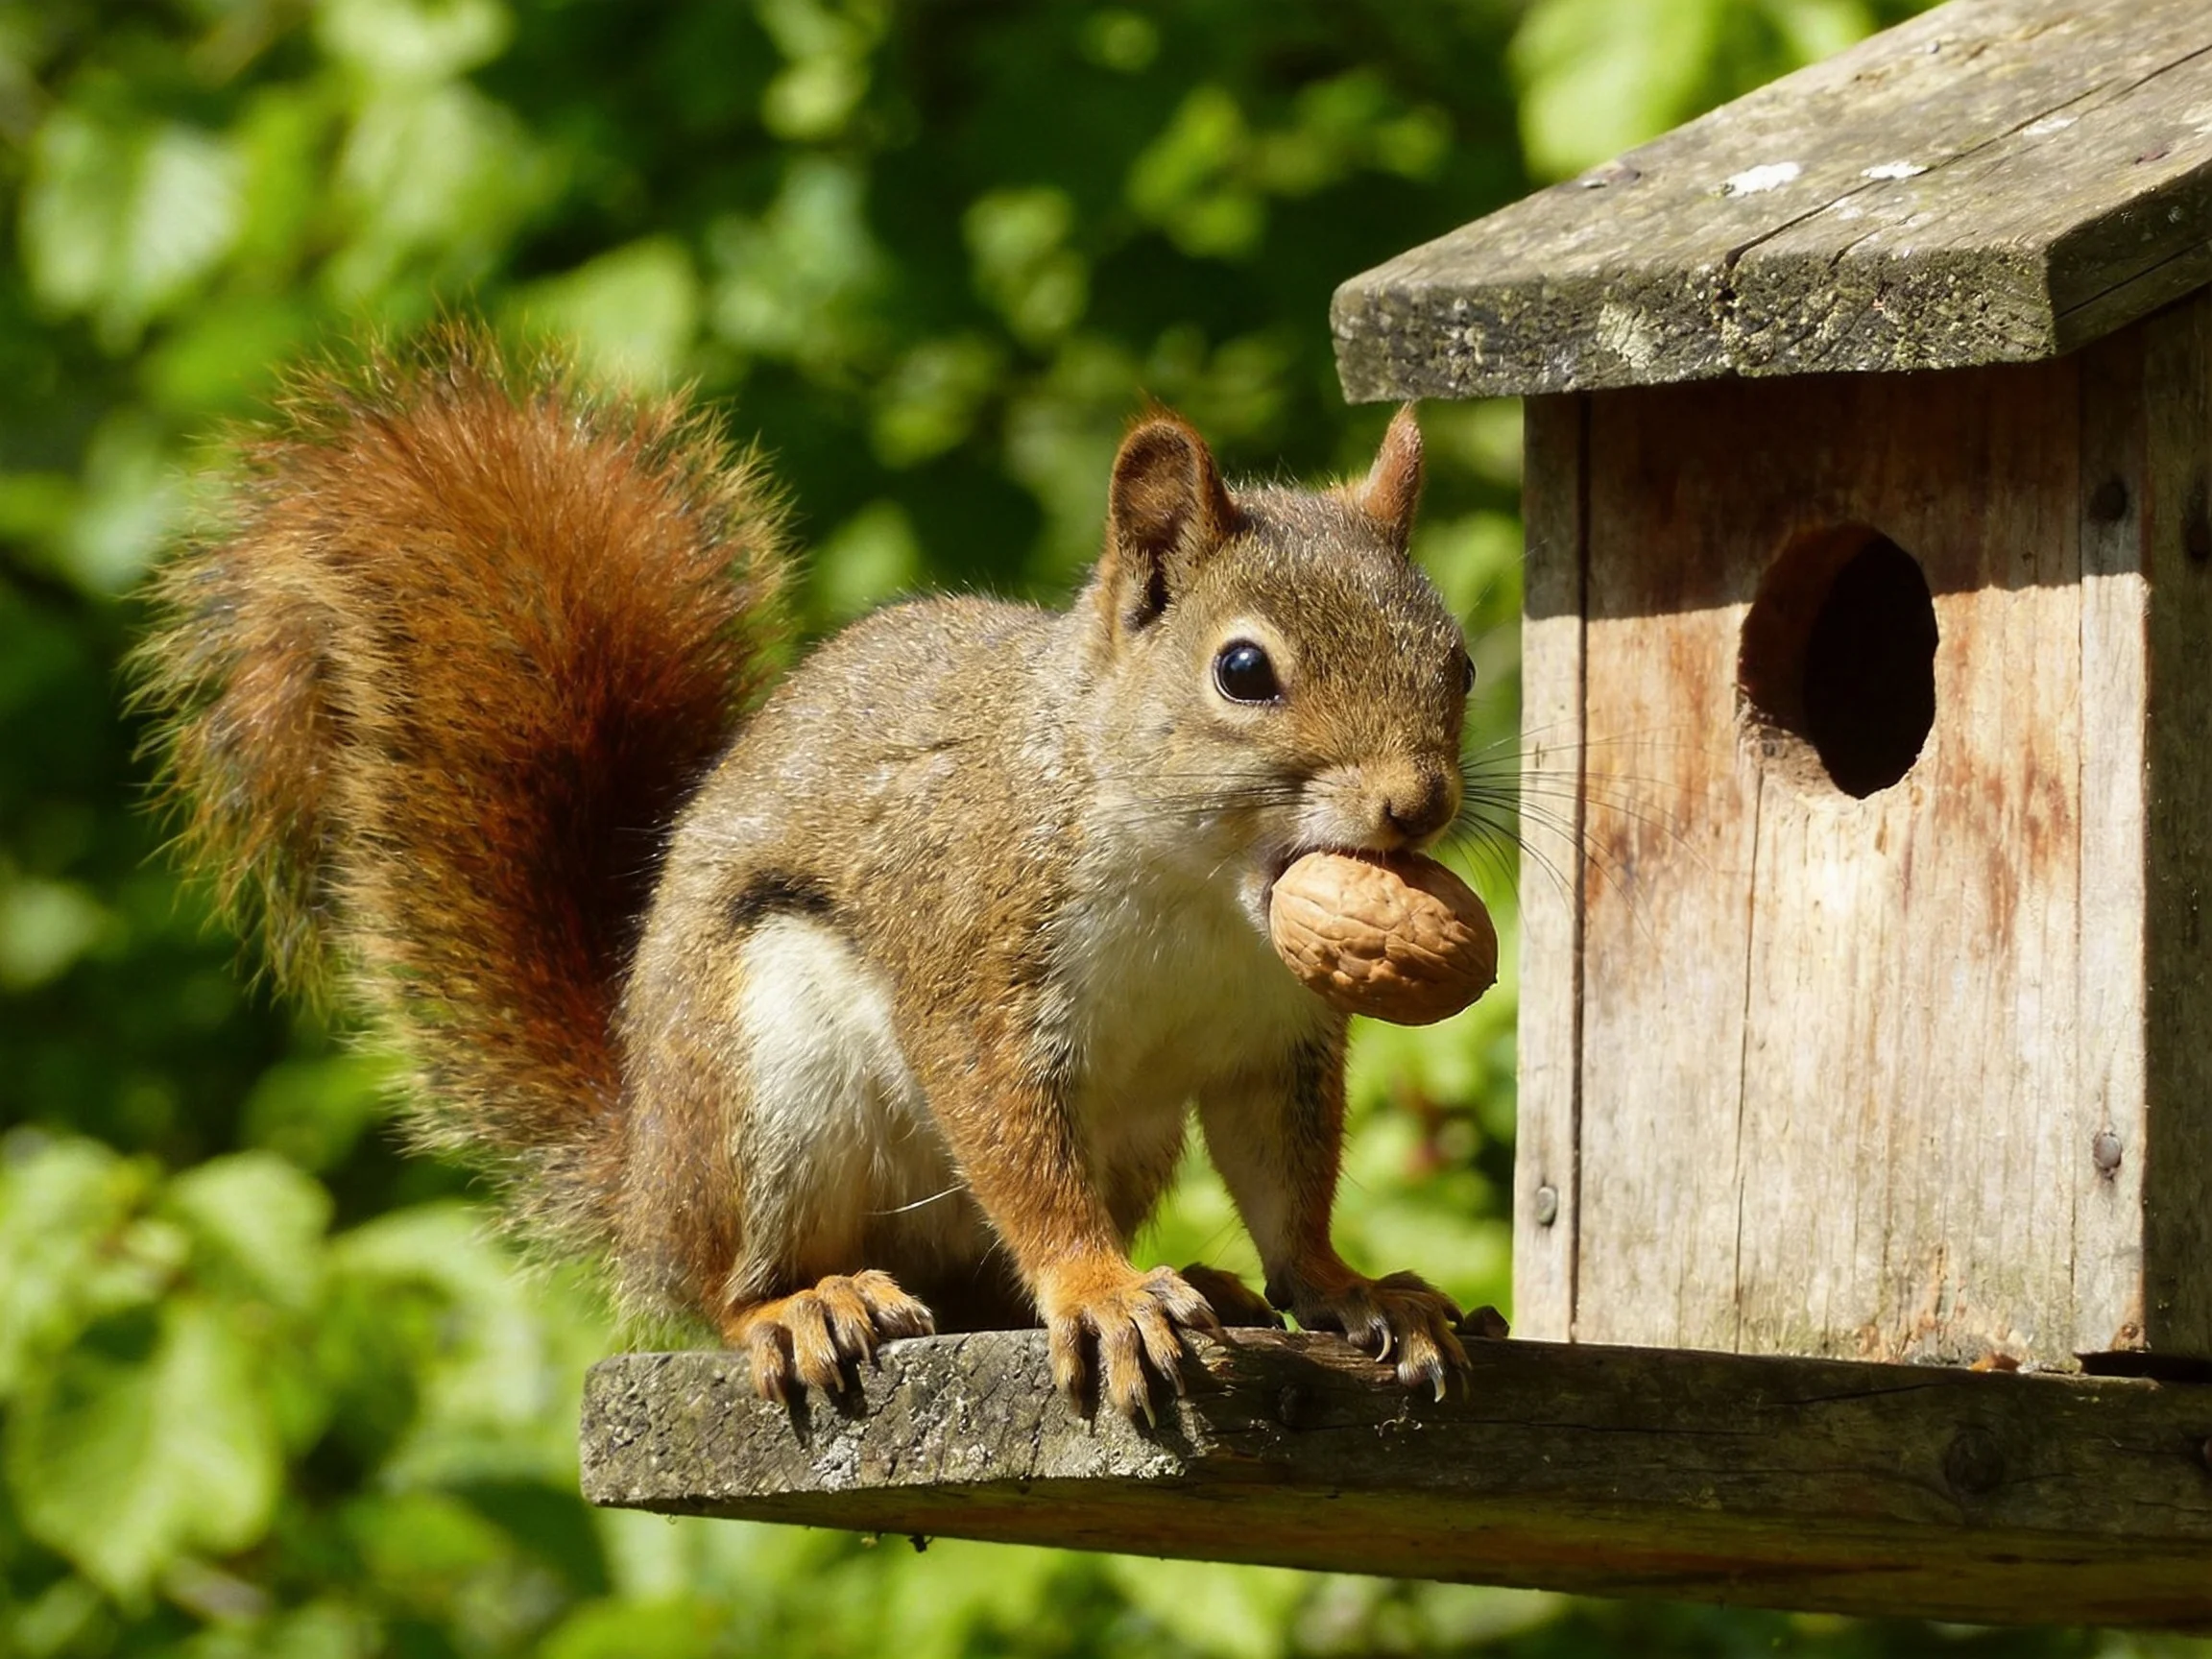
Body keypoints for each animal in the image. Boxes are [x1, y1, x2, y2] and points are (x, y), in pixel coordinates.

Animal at [136, 330, 1476, 1422]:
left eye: (1459, 659)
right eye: (1242, 671)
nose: (1419, 804)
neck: (1204, 895)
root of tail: (644, 1192)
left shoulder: (1274, 1037)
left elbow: (1289, 1186)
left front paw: (1353, 1290)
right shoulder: (975, 950)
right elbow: (1017, 1151)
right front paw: (1099, 1289)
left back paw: (1197, 1281)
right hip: (763, 1081)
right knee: (726, 1287)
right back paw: (804, 1306)